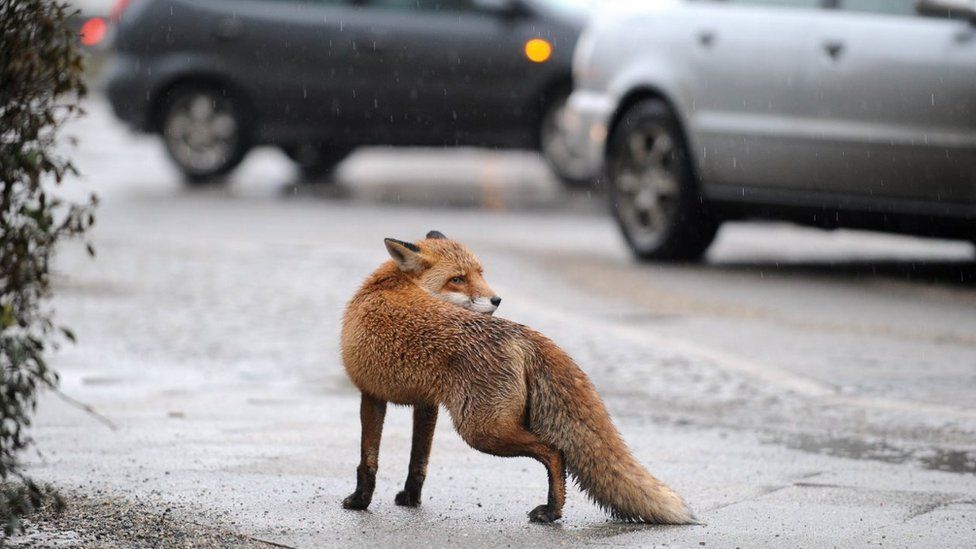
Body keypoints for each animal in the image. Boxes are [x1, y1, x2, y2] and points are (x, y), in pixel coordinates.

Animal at [344, 230, 692, 524]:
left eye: (480, 274)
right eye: (457, 279)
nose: (497, 299)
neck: (389, 283)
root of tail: (521, 332)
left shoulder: (369, 394)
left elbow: (367, 460)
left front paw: (359, 502)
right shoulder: (426, 404)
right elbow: (418, 460)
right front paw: (410, 498)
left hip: (482, 430)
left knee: (555, 451)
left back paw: (551, 510)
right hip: (488, 426)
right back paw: (554, 509)